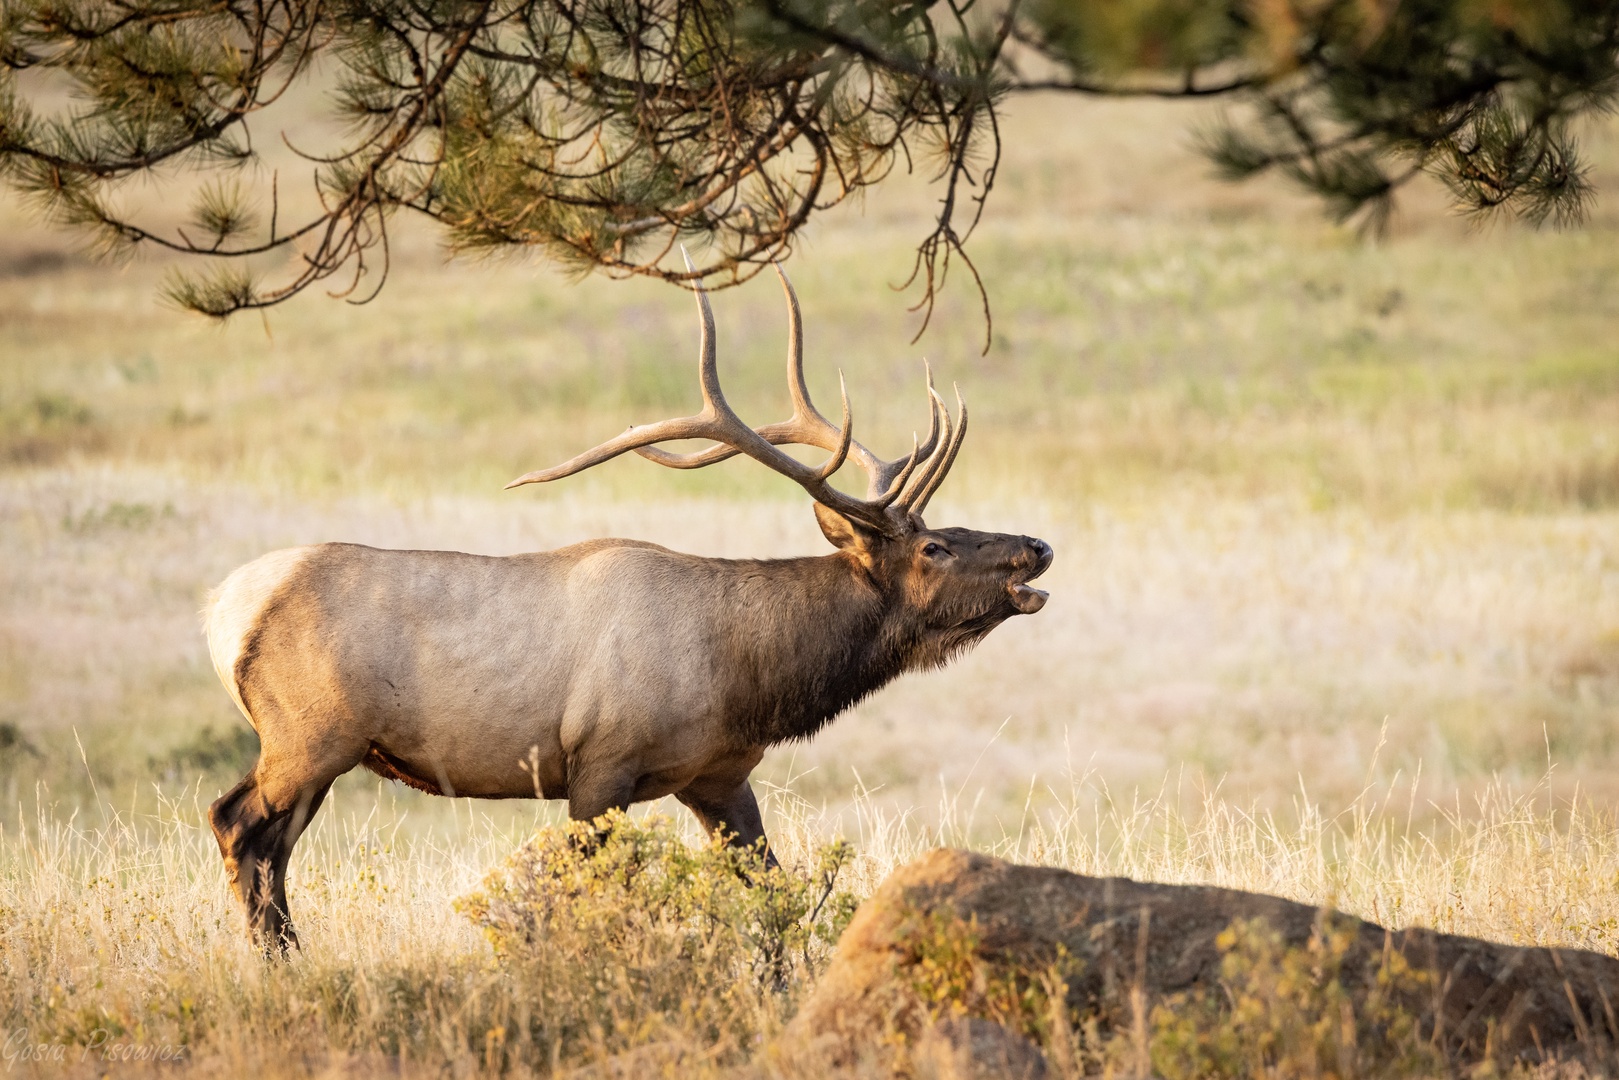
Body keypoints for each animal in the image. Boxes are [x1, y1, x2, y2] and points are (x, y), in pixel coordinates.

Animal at [202, 261, 1053, 949]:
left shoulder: (716, 775)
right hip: (310, 733)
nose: (1036, 547)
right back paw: (283, 964)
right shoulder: (600, 764)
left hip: (320, 749)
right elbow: (582, 894)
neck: (747, 678)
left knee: (267, 845)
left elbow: (768, 889)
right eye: (934, 547)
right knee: (237, 823)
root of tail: (220, 612)